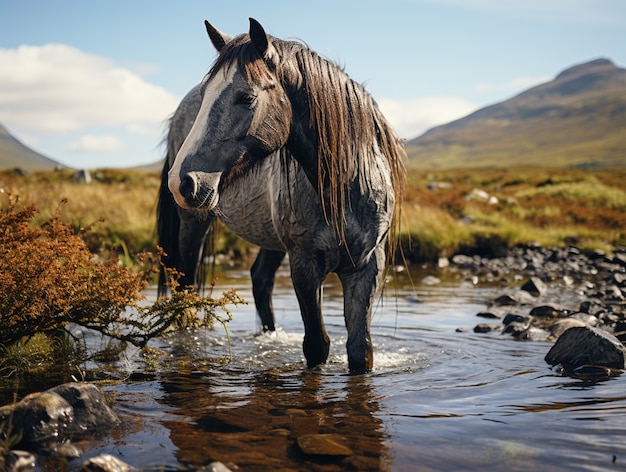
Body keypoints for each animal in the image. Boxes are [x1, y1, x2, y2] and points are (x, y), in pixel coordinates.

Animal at [160, 18, 404, 372]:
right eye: (205, 97)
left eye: (246, 97)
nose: (182, 181)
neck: (344, 191)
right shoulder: (304, 264)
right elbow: (316, 346)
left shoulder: (368, 266)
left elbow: (360, 350)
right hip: (194, 223)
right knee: (186, 289)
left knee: (260, 280)